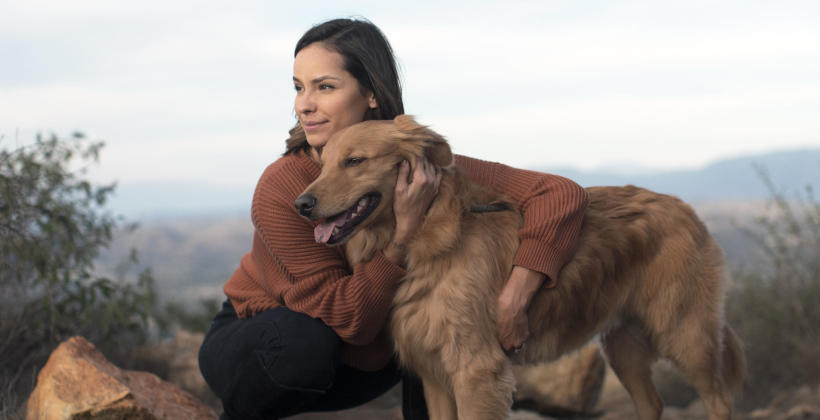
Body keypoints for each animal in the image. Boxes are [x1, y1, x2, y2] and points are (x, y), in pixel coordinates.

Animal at [294, 115, 744, 420]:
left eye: (355, 161)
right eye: (323, 164)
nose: (301, 205)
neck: (427, 237)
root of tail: (684, 207)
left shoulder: (476, 372)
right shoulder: (434, 375)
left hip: (685, 334)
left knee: (720, 400)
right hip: (624, 344)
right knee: (652, 403)